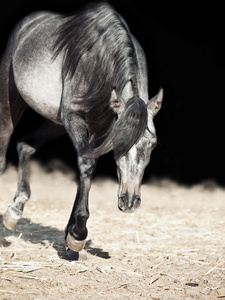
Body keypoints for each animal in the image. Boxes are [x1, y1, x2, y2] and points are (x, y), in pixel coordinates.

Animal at [0, 2, 162, 252]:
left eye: (153, 144)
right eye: (119, 143)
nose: (129, 201)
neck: (99, 61)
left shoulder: (99, 130)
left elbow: (87, 173)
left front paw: (72, 235)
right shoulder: (75, 119)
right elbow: (86, 164)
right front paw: (78, 233)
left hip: (54, 122)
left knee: (25, 145)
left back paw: (15, 210)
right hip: (11, 102)